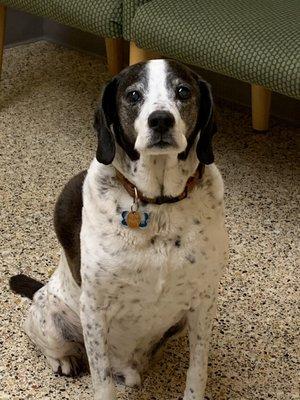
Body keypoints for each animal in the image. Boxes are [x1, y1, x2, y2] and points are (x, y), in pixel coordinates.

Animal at [10, 59, 229, 400]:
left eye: (183, 91)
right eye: (133, 95)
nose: (161, 120)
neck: (158, 203)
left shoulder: (202, 304)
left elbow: (197, 372)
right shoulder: (95, 311)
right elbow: (101, 381)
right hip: (52, 317)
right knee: (39, 336)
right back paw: (64, 360)